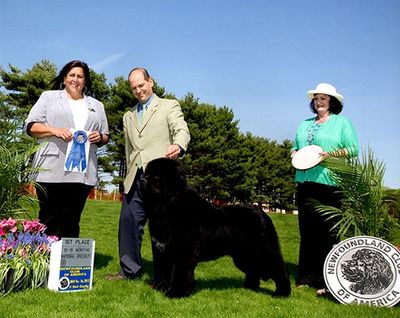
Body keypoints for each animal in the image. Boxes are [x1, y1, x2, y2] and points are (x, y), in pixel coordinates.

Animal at [141, 158, 290, 298]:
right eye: (146, 173)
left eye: (156, 176)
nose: (142, 180)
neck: (169, 205)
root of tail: (263, 213)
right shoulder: (164, 251)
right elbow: (164, 271)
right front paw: (160, 288)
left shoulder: (183, 251)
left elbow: (180, 273)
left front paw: (176, 293)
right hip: (243, 255)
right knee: (254, 270)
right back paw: (250, 287)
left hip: (262, 250)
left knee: (279, 268)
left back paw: (282, 292)